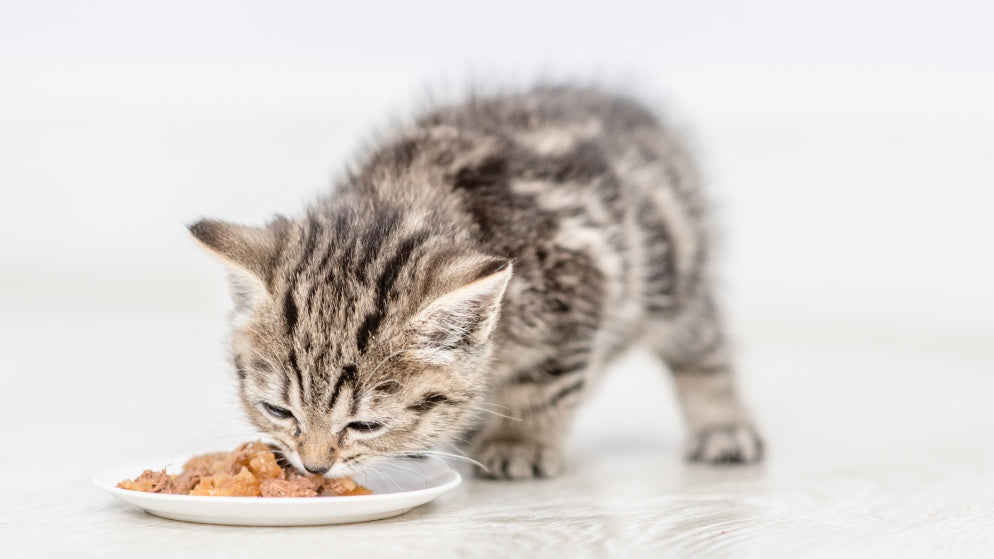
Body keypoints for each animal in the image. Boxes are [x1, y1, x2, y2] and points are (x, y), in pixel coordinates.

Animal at [190, 85, 764, 480]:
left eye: (364, 425)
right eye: (278, 411)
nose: (314, 468)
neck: (406, 200)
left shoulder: (579, 290)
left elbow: (544, 384)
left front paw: (519, 443)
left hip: (673, 274)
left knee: (703, 348)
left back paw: (723, 427)